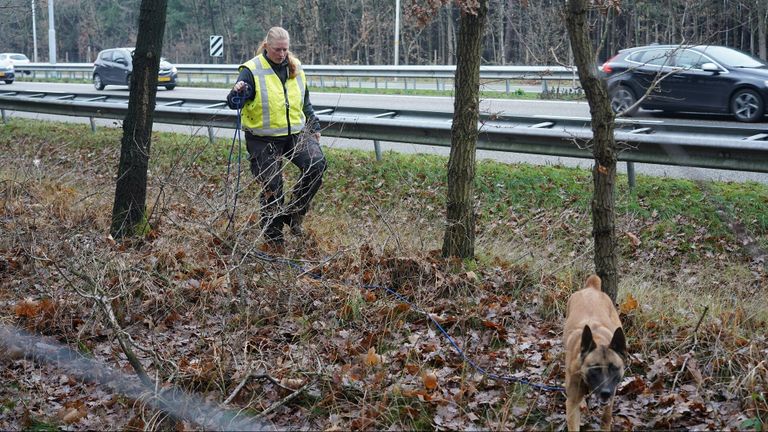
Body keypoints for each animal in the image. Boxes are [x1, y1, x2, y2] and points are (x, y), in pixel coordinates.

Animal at [560, 276, 628, 430]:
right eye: (595, 368)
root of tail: (591, 288)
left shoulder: (612, 393)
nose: (605, 392)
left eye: (614, 368)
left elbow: (606, 417)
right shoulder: (571, 403)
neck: (598, 339)